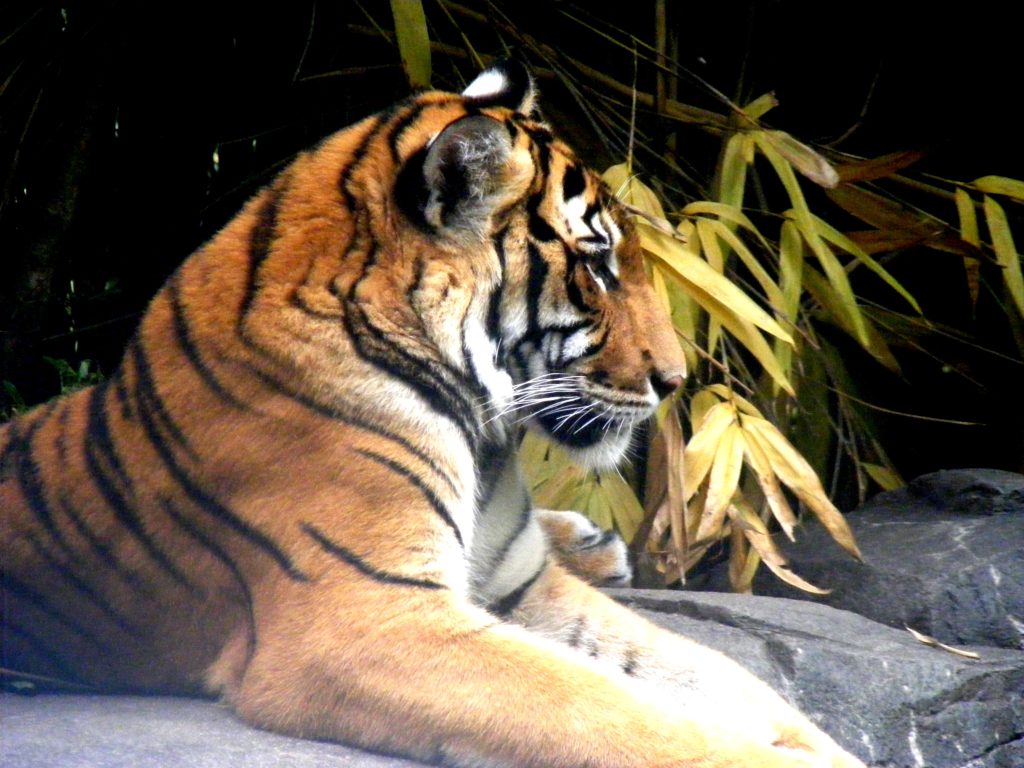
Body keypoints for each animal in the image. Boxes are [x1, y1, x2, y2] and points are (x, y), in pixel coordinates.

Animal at [0, 61, 864, 768]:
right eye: (596, 266)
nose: (677, 381)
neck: (487, 435)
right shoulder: (371, 619)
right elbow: (617, 712)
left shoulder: (523, 590)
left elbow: (722, 676)